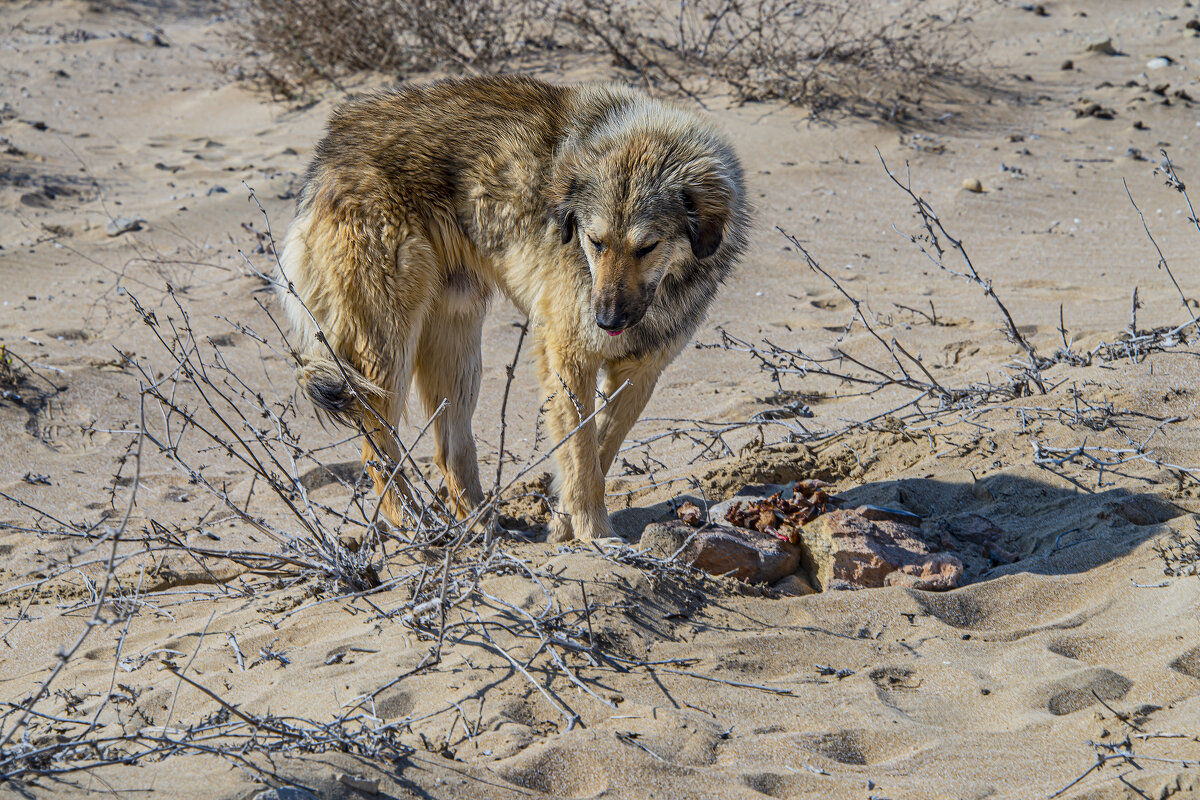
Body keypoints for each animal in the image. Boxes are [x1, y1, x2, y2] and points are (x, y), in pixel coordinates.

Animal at [282, 74, 748, 542]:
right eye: (595, 242)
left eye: (647, 246)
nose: (606, 321)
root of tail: (334, 140)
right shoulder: (568, 356)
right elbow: (583, 457)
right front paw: (595, 536)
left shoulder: (640, 371)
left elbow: (599, 450)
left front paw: (564, 525)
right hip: (386, 354)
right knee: (376, 449)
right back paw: (418, 528)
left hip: (458, 356)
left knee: (449, 451)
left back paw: (482, 531)